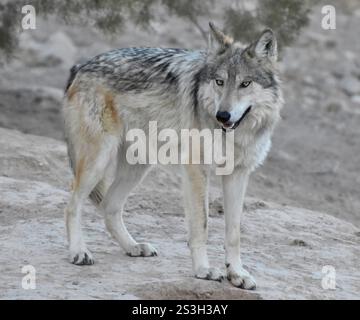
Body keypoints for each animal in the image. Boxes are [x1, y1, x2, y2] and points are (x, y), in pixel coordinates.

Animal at [62, 23, 284, 290]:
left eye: (245, 83)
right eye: (220, 82)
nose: (223, 115)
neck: (235, 136)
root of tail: (81, 66)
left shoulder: (238, 174)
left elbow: (234, 233)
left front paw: (237, 274)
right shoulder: (196, 171)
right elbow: (201, 225)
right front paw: (203, 270)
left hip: (138, 167)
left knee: (109, 207)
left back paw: (133, 247)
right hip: (97, 162)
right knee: (72, 204)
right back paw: (79, 252)